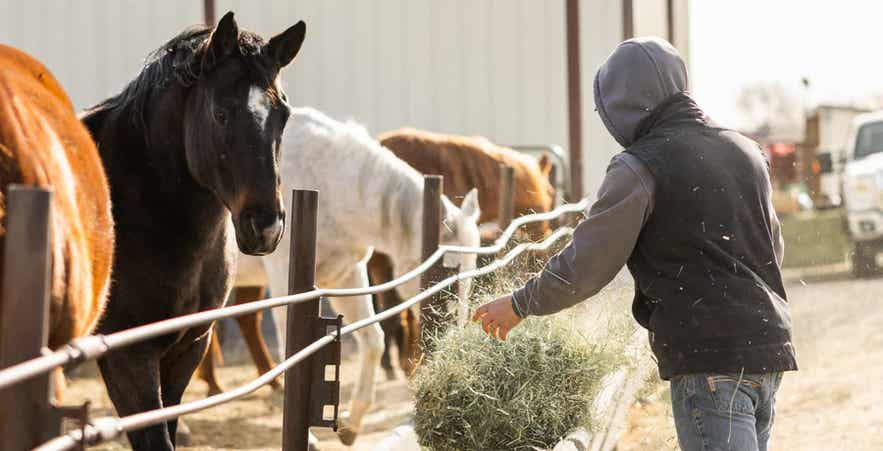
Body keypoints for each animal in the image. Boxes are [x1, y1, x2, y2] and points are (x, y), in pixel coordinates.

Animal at [231, 107, 481, 446]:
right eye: (448, 270)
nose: (457, 331)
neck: (330, 182)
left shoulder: (346, 276)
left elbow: (373, 339)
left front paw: (352, 424)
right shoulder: (286, 283)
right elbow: (291, 352)